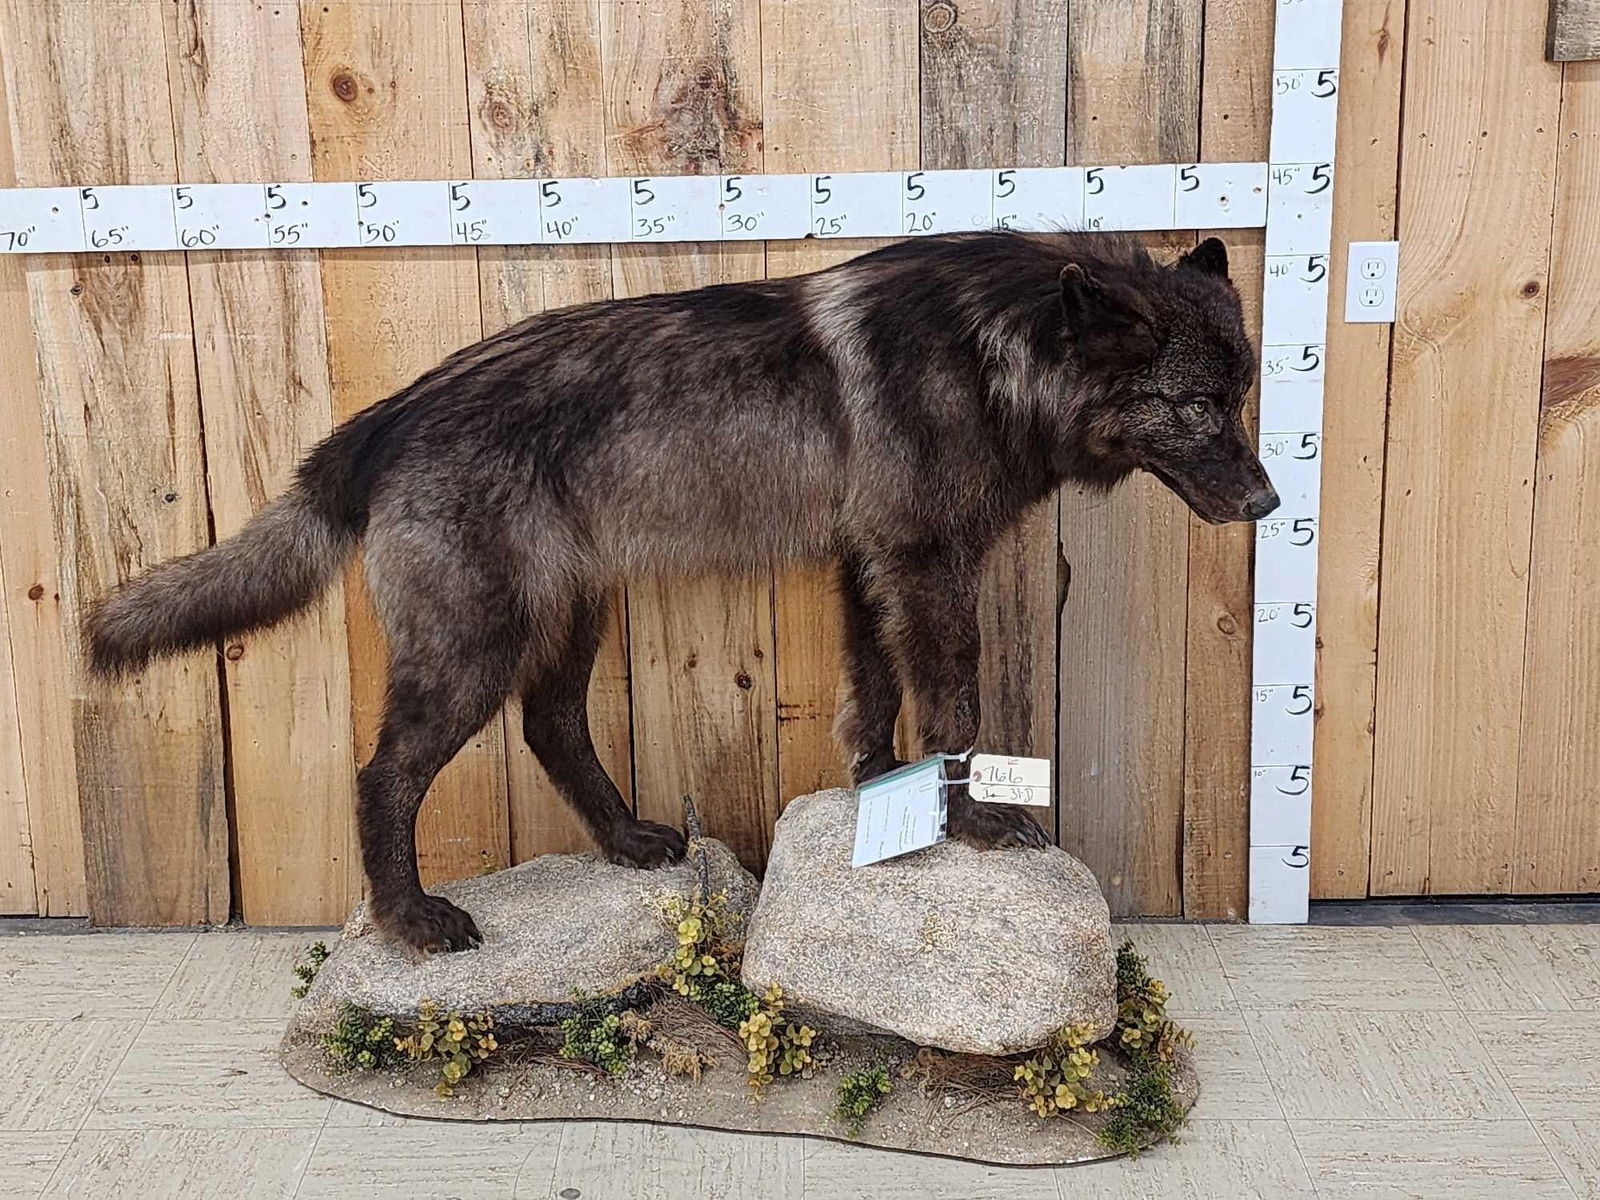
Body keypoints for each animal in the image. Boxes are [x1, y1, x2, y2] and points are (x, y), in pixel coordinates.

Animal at [87, 230, 1276, 954]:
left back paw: (624, 844)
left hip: (564, 624)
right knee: (382, 777)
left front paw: (877, 788)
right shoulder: (925, 563)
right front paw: (973, 818)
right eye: (1194, 406)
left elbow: (873, 696)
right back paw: (411, 921)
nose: (1269, 502)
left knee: (553, 727)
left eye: (1240, 395)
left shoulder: (871, 562)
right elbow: (954, 702)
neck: (997, 352)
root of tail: (380, 421)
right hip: (472, 652)